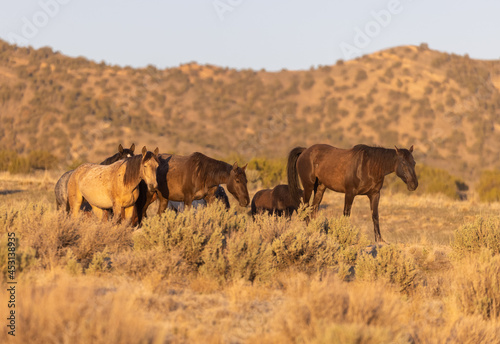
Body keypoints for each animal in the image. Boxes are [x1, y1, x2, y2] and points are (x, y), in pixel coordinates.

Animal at [286, 144, 418, 243]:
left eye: (414, 163)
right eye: (403, 163)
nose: (414, 185)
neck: (369, 166)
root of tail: (305, 151)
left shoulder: (375, 195)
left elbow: (375, 216)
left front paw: (379, 240)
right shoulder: (350, 193)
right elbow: (346, 214)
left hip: (320, 188)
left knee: (313, 209)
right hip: (308, 187)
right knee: (305, 208)